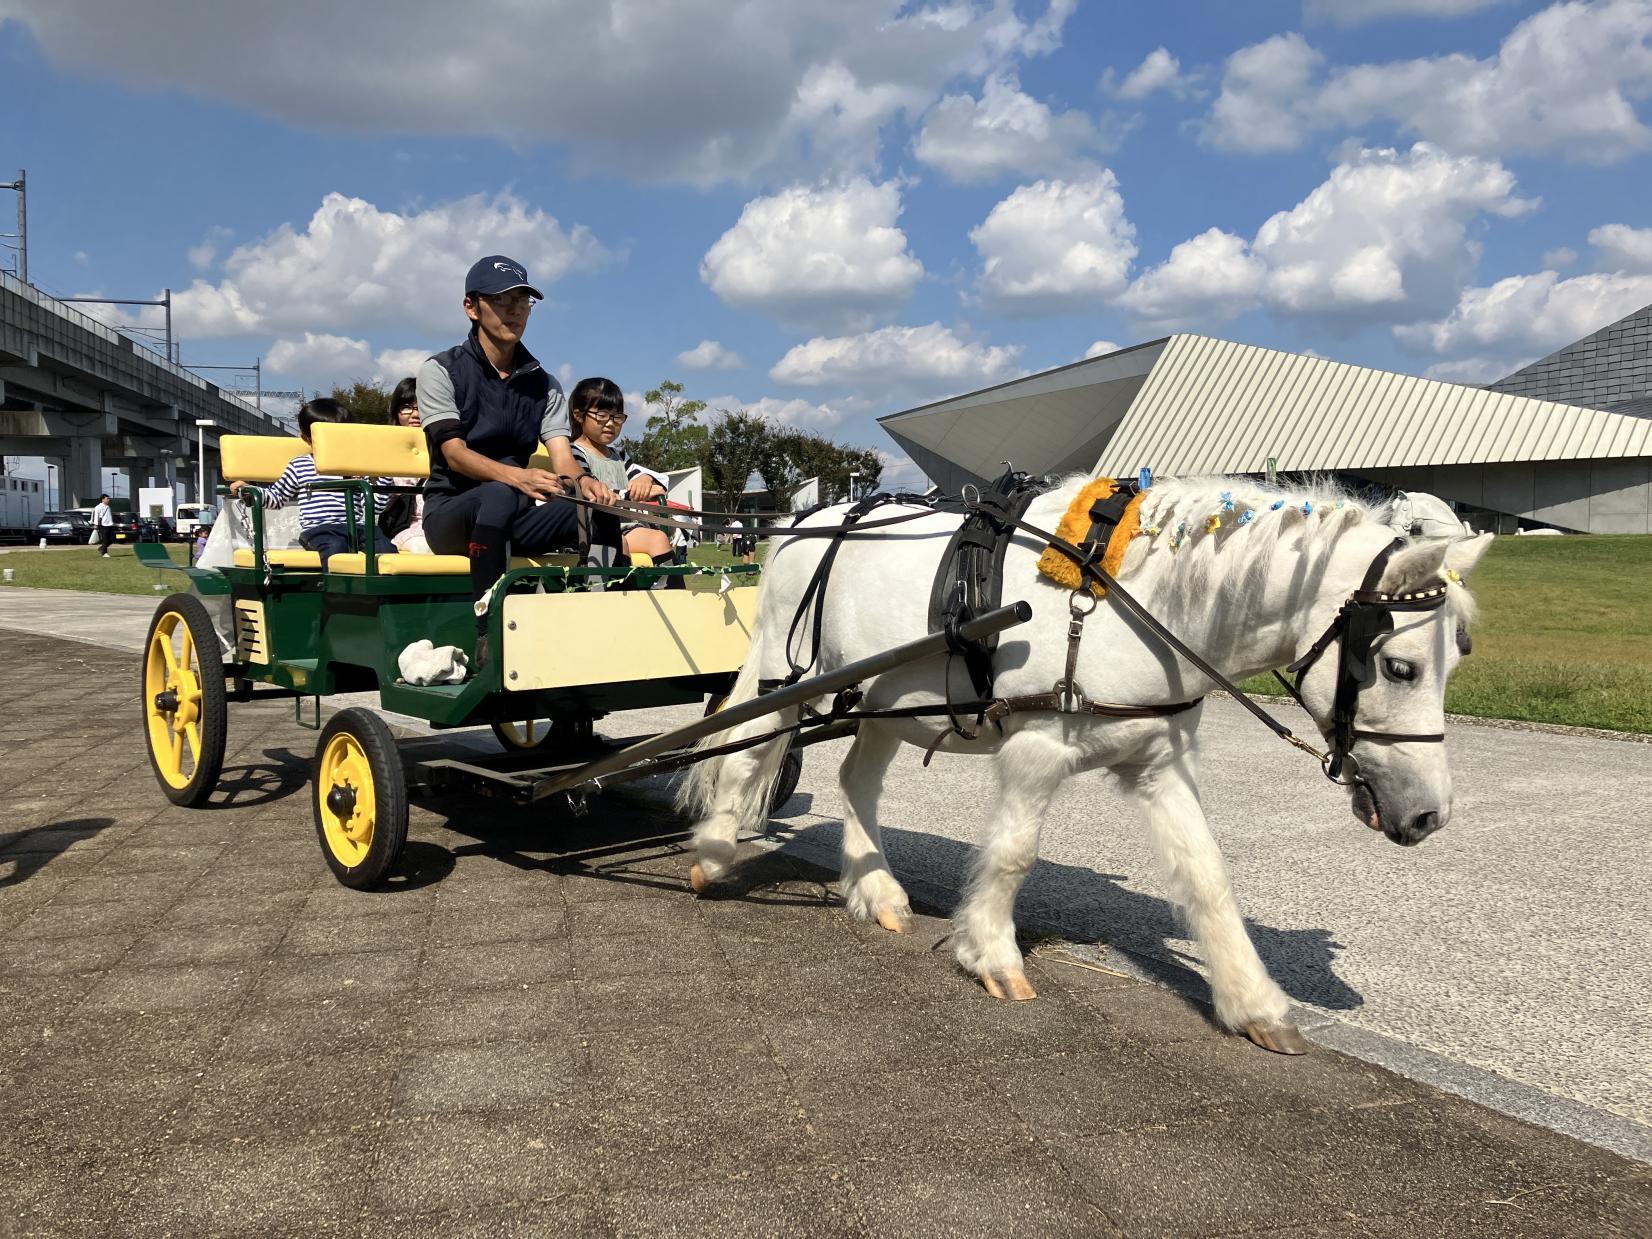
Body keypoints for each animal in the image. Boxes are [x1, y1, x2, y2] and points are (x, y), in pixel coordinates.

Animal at [677, 479, 1493, 1050]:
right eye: (1400, 666)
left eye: (1459, 658)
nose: (1429, 814)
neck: (1128, 599)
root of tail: (804, 524)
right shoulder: (1036, 750)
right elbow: (1013, 853)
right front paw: (990, 951)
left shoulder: (1160, 764)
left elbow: (1207, 876)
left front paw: (1252, 999)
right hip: (792, 675)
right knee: (748, 757)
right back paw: (714, 853)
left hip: (889, 696)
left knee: (856, 780)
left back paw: (875, 888)